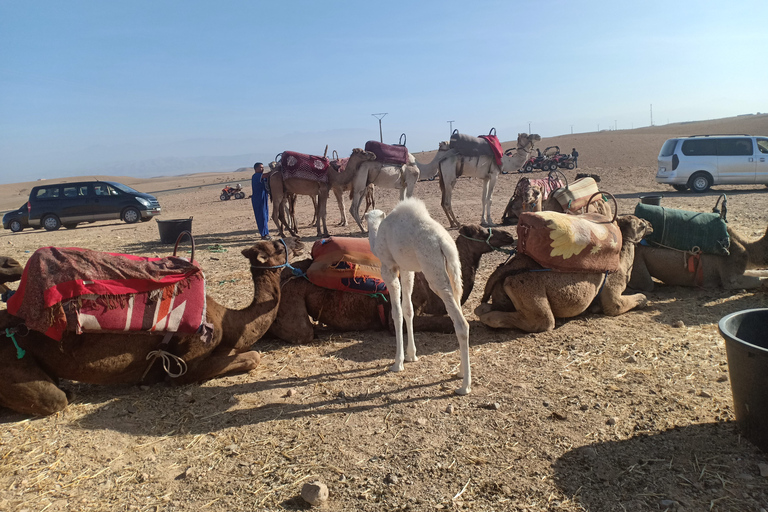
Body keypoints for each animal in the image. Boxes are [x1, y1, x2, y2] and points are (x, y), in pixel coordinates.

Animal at [0, 237, 306, 416]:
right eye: (278, 246)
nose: (298, 240)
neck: (226, 319)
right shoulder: (184, 363)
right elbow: (253, 357)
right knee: (56, 398)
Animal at [368, 197, 472, 396]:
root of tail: (444, 243)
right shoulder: (406, 269)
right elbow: (408, 310)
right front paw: (412, 355)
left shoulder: (389, 267)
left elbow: (397, 313)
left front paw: (398, 363)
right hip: (453, 270)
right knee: (457, 304)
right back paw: (460, 372)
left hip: (433, 271)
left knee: (461, 324)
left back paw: (464, 386)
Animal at [476, 215, 652, 332]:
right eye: (641, 225)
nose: (651, 224)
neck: (621, 262)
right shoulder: (612, 293)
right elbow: (620, 303)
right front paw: (643, 300)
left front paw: (594, 308)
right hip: (527, 289)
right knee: (542, 321)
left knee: (483, 308)